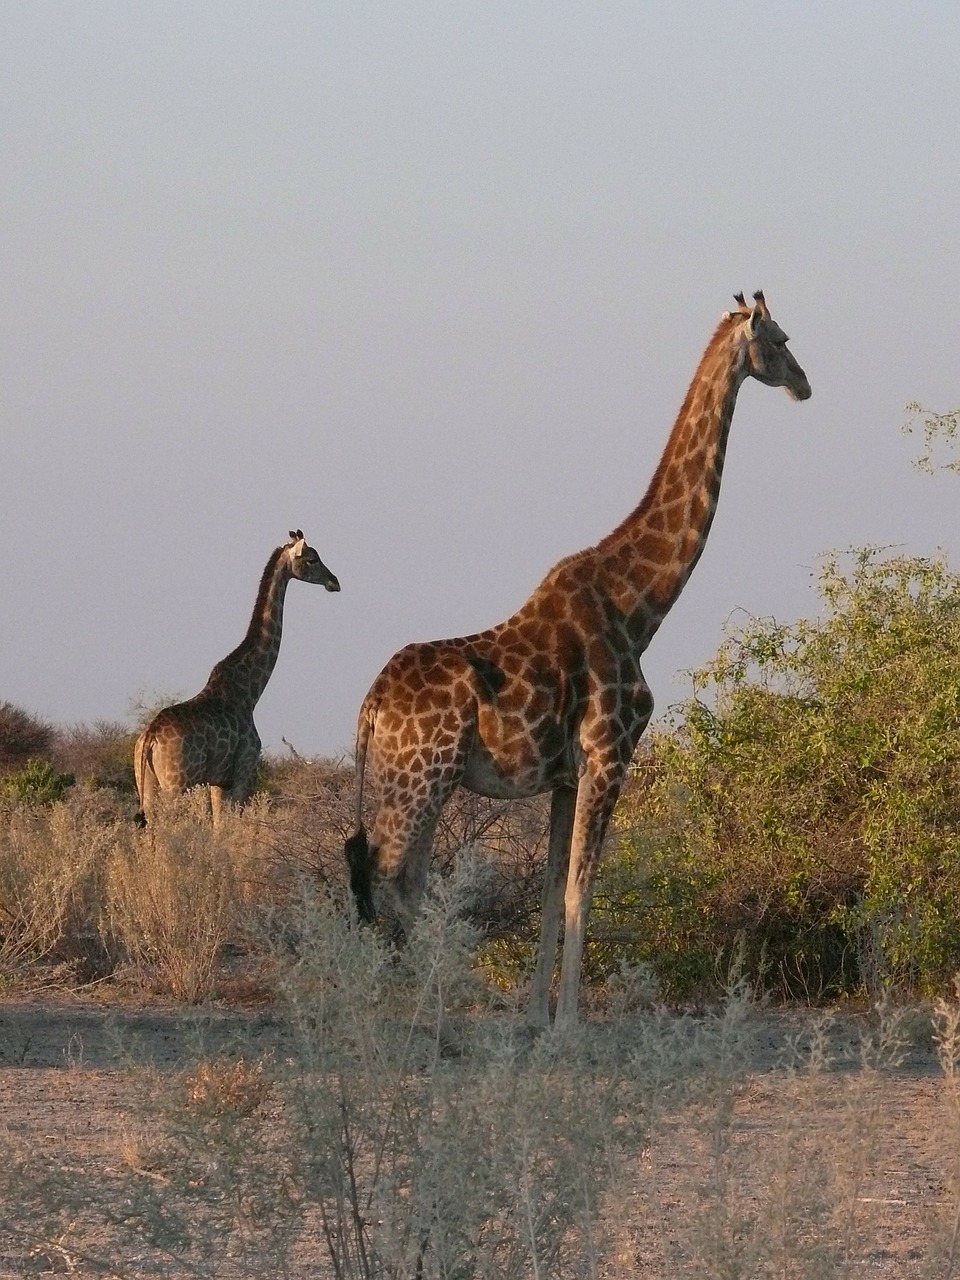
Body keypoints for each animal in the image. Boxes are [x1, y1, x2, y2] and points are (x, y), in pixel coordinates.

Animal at [135, 527, 343, 819]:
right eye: (312, 559)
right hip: (177, 783)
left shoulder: (217, 781)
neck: (250, 692)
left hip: (147, 785)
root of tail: (150, 737)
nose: (334, 581)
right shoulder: (243, 771)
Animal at [345, 294, 814, 1034]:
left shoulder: (564, 774)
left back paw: (426, 1003)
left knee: (404, 878)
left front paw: (537, 1017)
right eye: (781, 338)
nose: (805, 384)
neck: (639, 604)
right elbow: (581, 889)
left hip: (418, 782)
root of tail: (369, 706)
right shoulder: (610, 753)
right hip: (419, 778)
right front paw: (569, 1024)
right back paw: (405, 1010)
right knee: (387, 875)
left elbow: (549, 889)